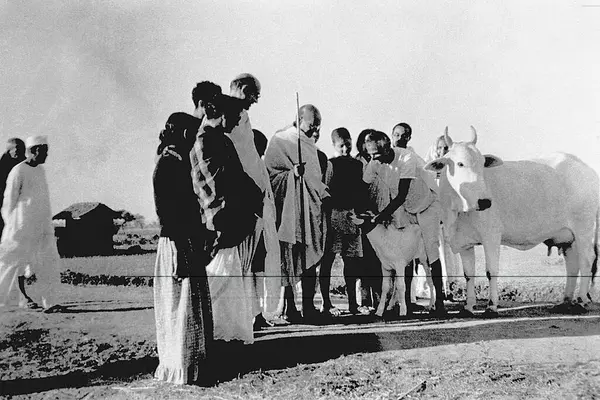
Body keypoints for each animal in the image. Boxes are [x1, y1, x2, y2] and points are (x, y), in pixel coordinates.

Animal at [424, 127, 596, 316]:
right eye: (460, 164)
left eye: (482, 163)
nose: (485, 202)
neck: (458, 210)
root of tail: (585, 168)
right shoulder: (464, 242)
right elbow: (469, 275)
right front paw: (468, 306)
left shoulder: (491, 236)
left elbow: (491, 271)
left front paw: (491, 306)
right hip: (567, 238)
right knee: (572, 265)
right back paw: (565, 301)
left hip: (584, 229)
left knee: (586, 261)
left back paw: (581, 300)